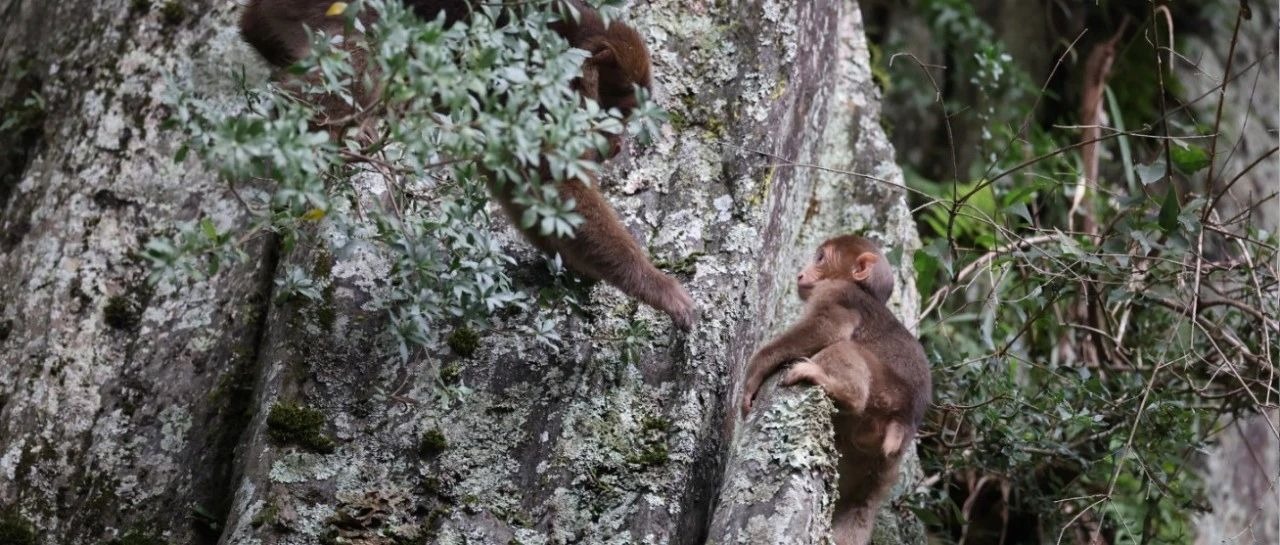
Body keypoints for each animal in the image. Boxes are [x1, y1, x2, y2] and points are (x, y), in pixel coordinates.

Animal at [240, 0, 701, 327]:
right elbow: (548, 187)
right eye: (615, 114)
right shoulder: (534, 93)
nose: (619, 144)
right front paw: (657, 287)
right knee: (362, 56)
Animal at [742, 234, 931, 545]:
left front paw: (755, 372)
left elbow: (826, 329)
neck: (862, 289)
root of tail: (904, 420)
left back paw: (838, 388)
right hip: (883, 464)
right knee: (860, 506)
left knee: (844, 348)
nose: (800, 274)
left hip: (885, 392)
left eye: (820, 258)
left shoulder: (836, 293)